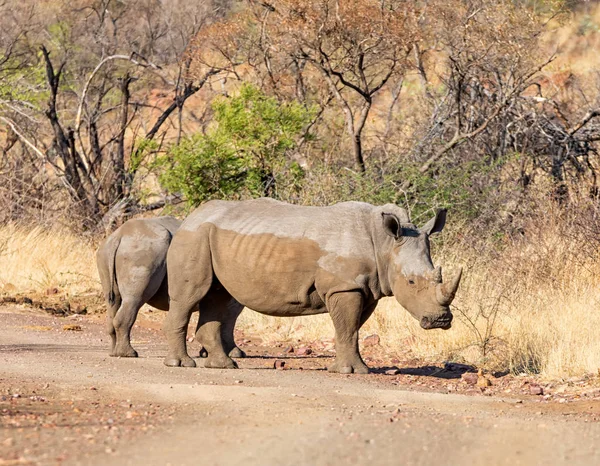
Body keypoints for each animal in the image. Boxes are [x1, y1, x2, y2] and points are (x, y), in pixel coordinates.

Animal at [162, 198, 462, 374]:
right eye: (411, 282)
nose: (440, 320)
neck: (385, 244)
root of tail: (189, 216)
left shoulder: (365, 289)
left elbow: (350, 329)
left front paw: (346, 368)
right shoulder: (345, 286)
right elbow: (348, 328)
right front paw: (352, 372)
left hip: (214, 239)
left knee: (218, 296)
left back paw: (223, 366)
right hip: (194, 237)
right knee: (190, 297)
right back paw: (181, 364)